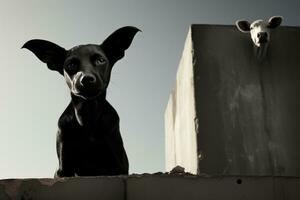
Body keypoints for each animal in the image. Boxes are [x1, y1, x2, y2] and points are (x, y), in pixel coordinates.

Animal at [22, 26, 140, 177]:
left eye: (100, 60)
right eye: (71, 64)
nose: (87, 79)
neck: (87, 116)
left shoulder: (118, 167)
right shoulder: (63, 169)